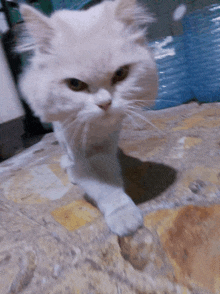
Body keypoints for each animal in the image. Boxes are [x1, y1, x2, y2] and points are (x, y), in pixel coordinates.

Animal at [18, 0, 157, 235]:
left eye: (120, 74)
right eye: (75, 84)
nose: (105, 103)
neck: (96, 131)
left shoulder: (105, 147)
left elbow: (109, 179)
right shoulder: (80, 150)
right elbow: (104, 188)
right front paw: (124, 218)